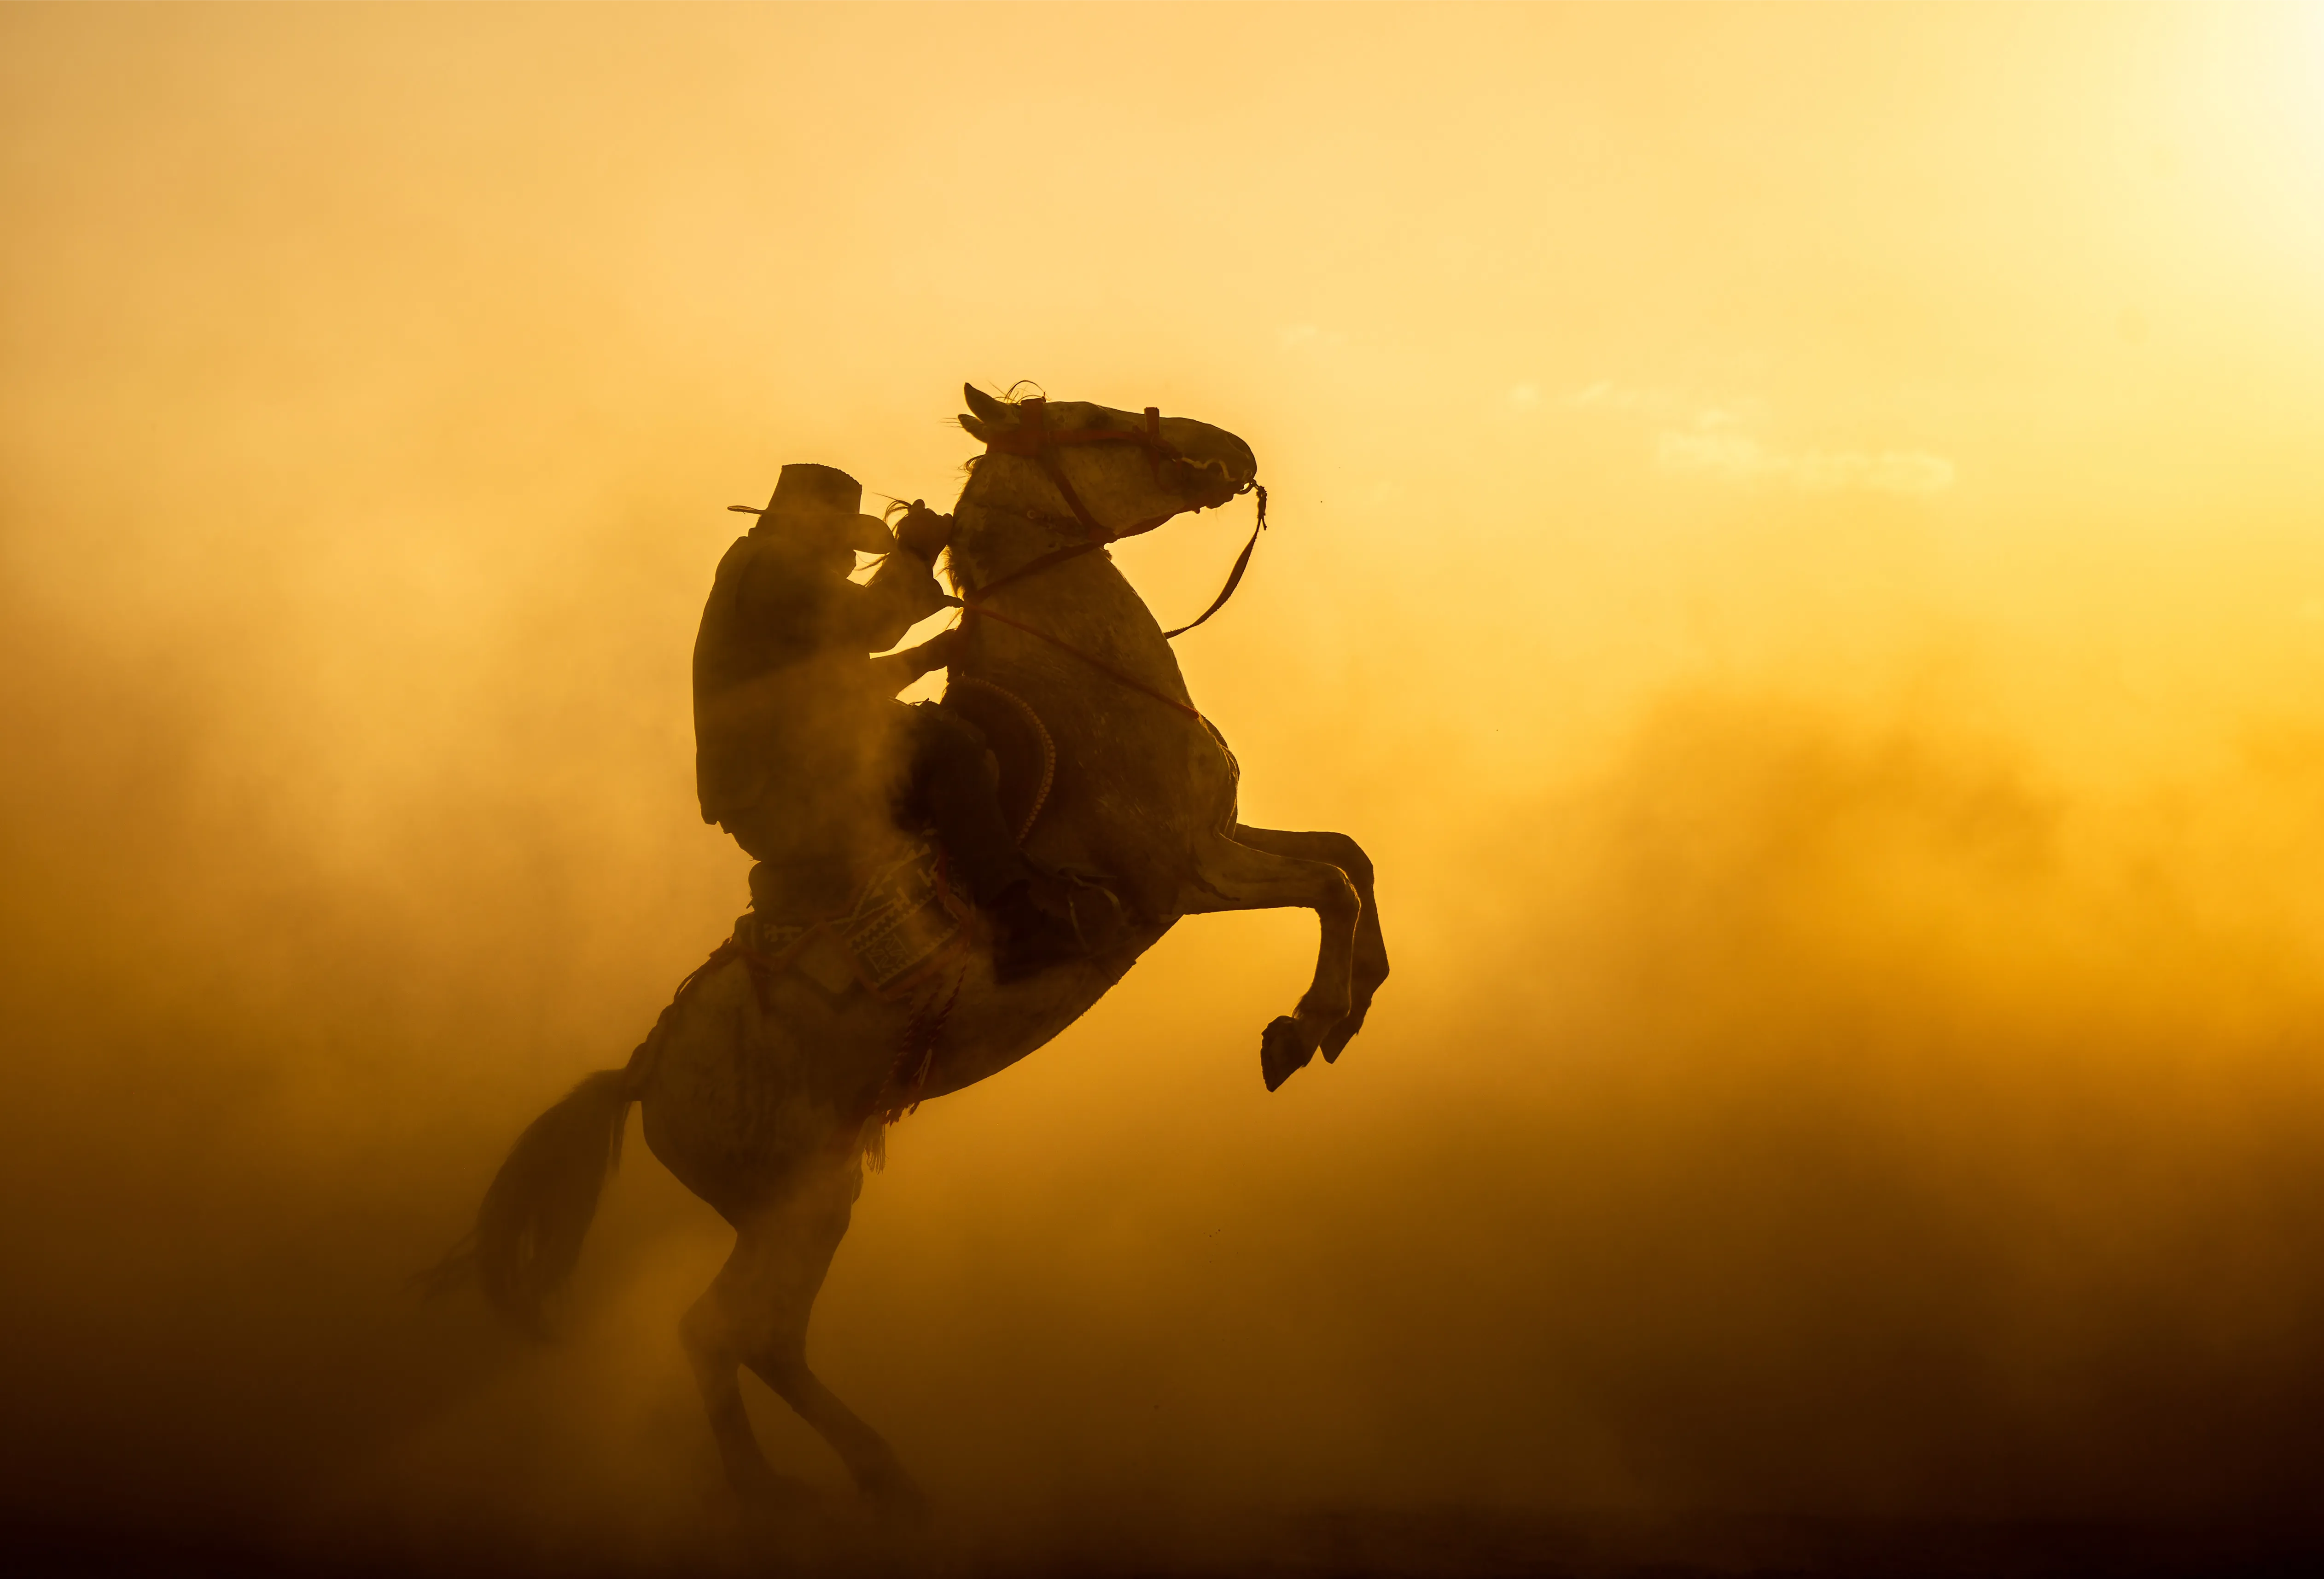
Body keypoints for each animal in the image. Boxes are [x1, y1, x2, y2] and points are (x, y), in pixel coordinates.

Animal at [462, 383, 1385, 1514]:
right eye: (1088, 412)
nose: (1229, 448)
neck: (1087, 688)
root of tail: (646, 1071)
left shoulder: (1224, 838)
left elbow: (1349, 858)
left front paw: (1350, 1006)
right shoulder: (1186, 872)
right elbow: (1329, 885)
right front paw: (1301, 1029)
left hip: (808, 1198)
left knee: (763, 1338)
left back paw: (870, 1476)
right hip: (798, 1202)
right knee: (720, 1330)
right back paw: (788, 1492)